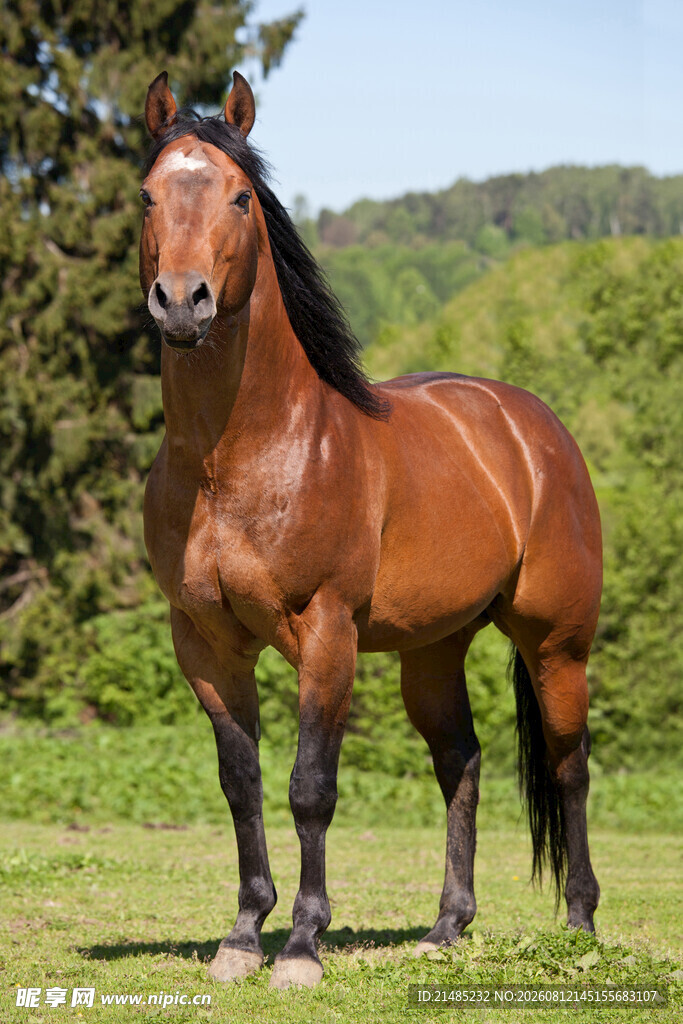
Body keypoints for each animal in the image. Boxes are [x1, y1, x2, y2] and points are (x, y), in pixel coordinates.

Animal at [139, 70, 602, 990]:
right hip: (433, 650)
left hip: (556, 644)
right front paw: (242, 937)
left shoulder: (327, 634)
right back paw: (446, 927)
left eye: (240, 196)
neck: (235, 461)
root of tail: (533, 428)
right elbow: (240, 783)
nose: (181, 302)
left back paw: (577, 924)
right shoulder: (204, 643)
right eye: (145, 195)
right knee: (460, 761)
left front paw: (302, 947)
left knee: (568, 766)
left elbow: (310, 787)